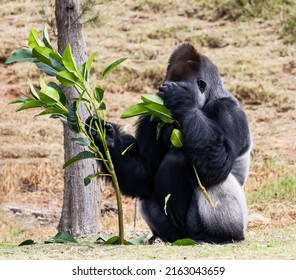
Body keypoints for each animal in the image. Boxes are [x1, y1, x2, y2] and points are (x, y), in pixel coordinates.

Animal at [86, 43, 251, 243]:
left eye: (179, 86)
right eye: (163, 86)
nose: (163, 92)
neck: (208, 98)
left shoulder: (228, 111)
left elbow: (217, 166)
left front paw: (182, 101)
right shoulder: (151, 115)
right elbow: (145, 176)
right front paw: (107, 137)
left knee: (213, 182)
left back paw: (221, 236)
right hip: (180, 235)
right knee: (149, 194)